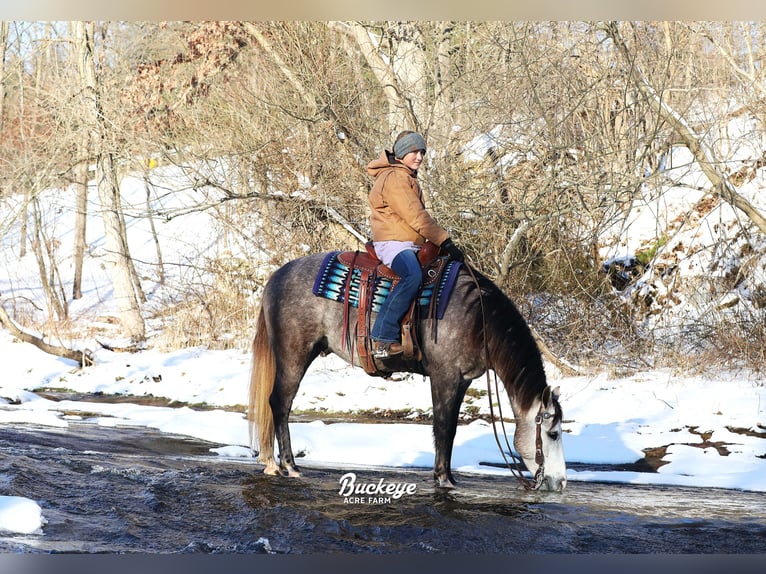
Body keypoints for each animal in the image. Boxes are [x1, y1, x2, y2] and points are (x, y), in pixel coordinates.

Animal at [249, 254, 568, 492]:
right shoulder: (445, 376)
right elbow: (444, 427)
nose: (561, 483)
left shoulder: (462, 381)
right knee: (280, 403)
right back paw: (289, 466)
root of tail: (277, 276)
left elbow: (449, 429)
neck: (477, 318)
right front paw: (444, 480)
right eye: (553, 434)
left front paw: (446, 477)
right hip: (294, 354)